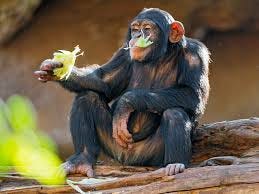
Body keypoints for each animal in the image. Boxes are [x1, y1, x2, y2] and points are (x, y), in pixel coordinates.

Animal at [34, 8, 210, 177]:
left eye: (147, 28)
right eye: (135, 29)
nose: (137, 36)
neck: (159, 56)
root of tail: (128, 158)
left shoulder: (195, 55)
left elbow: (193, 94)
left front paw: (126, 103)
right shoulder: (124, 53)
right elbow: (102, 81)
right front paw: (55, 68)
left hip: (150, 154)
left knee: (175, 113)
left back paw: (174, 164)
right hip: (113, 145)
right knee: (87, 97)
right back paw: (81, 160)